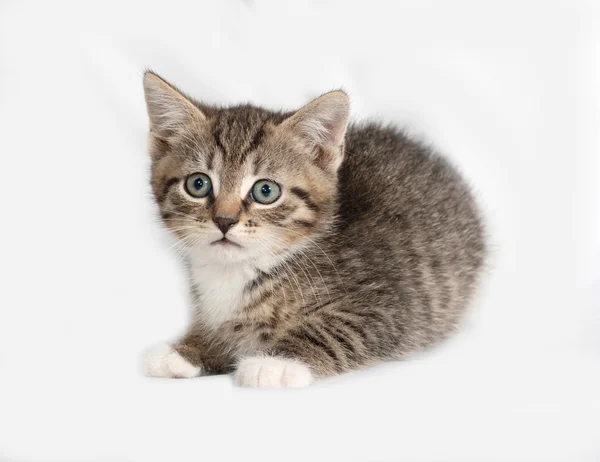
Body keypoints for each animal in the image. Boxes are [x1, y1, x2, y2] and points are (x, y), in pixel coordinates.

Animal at [142, 72, 488, 388]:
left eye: (265, 191)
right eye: (198, 184)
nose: (224, 221)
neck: (240, 271)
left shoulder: (391, 303)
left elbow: (335, 328)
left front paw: (275, 363)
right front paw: (186, 350)